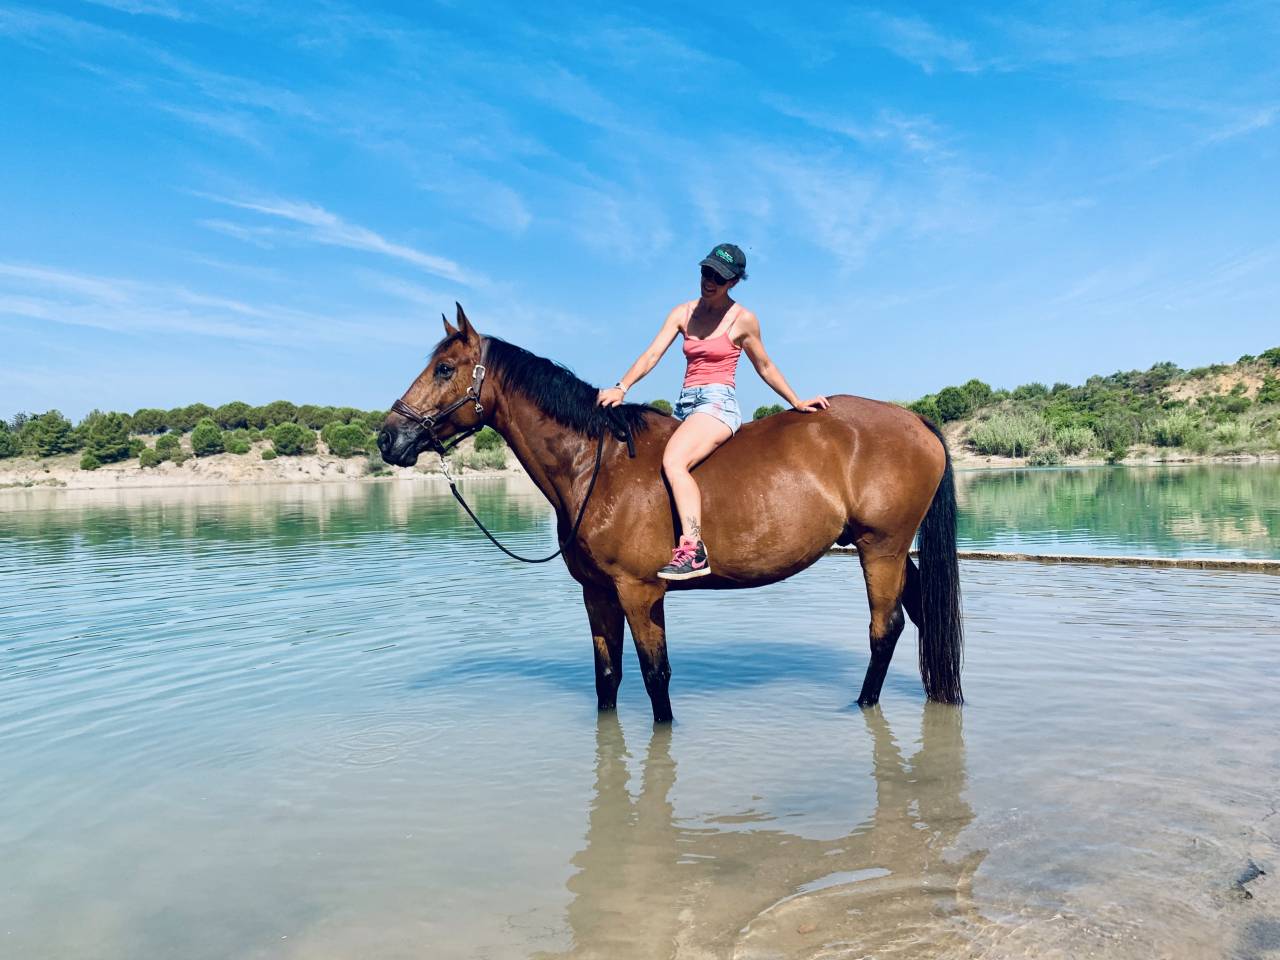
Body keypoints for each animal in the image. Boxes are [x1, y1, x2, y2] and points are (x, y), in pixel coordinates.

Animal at [379, 304, 963, 723]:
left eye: (445, 368)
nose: (388, 437)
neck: (596, 463)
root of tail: (915, 420)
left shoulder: (640, 592)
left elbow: (655, 677)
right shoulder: (598, 593)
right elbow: (608, 677)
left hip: (881, 549)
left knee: (884, 628)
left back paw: (863, 706)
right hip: (891, 550)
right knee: (919, 614)